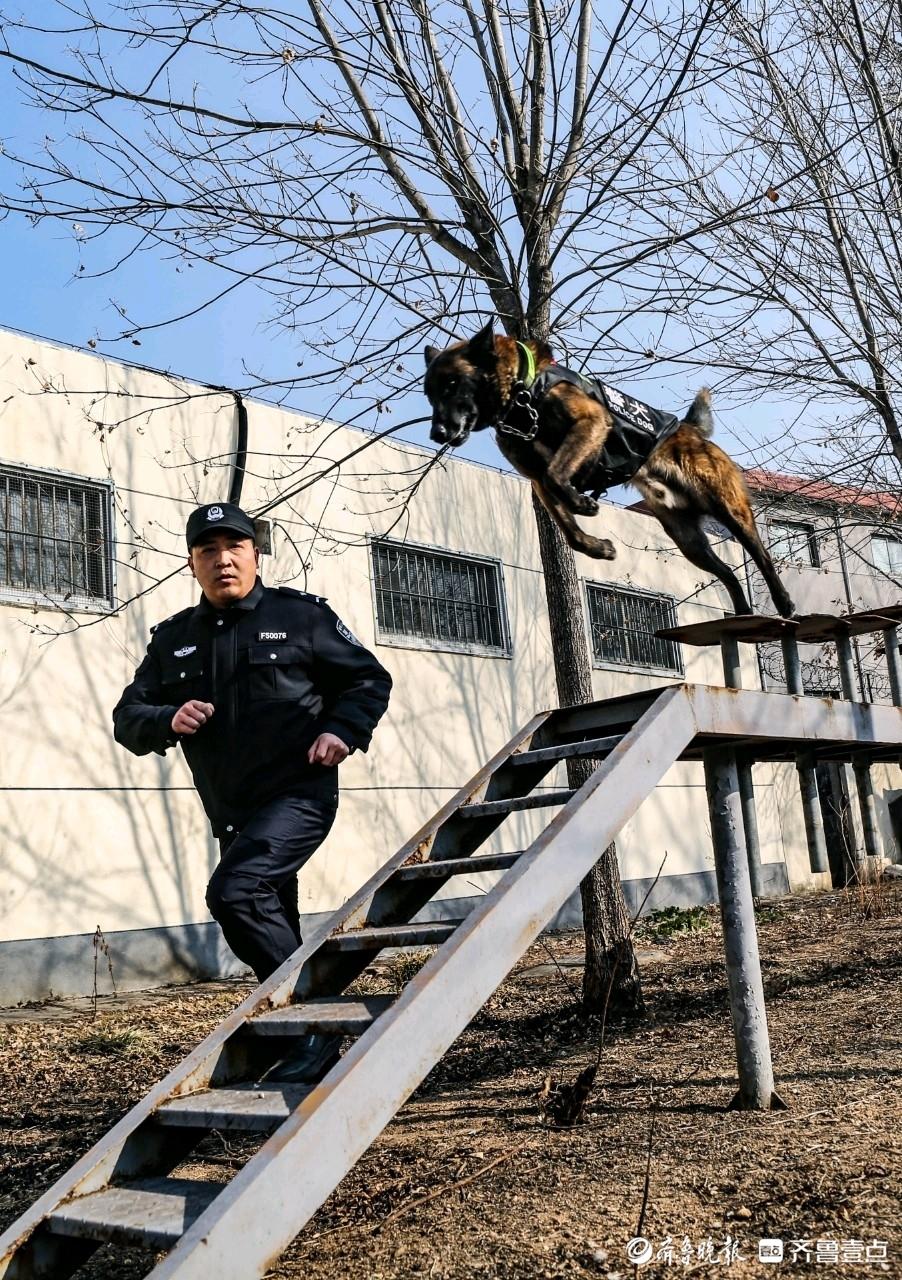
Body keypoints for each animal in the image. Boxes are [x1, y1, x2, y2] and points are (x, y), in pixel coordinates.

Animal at [422, 322, 788, 616]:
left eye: (452, 384)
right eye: (429, 395)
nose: (436, 433)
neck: (522, 393)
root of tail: (690, 430)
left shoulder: (591, 423)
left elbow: (557, 475)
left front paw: (582, 503)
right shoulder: (537, 479)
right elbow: (568, 528)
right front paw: (597, 546)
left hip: (728, 508)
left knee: (762, 557)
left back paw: (784, 604)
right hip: (689, 540)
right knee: (728, 572)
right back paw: (742, 614)